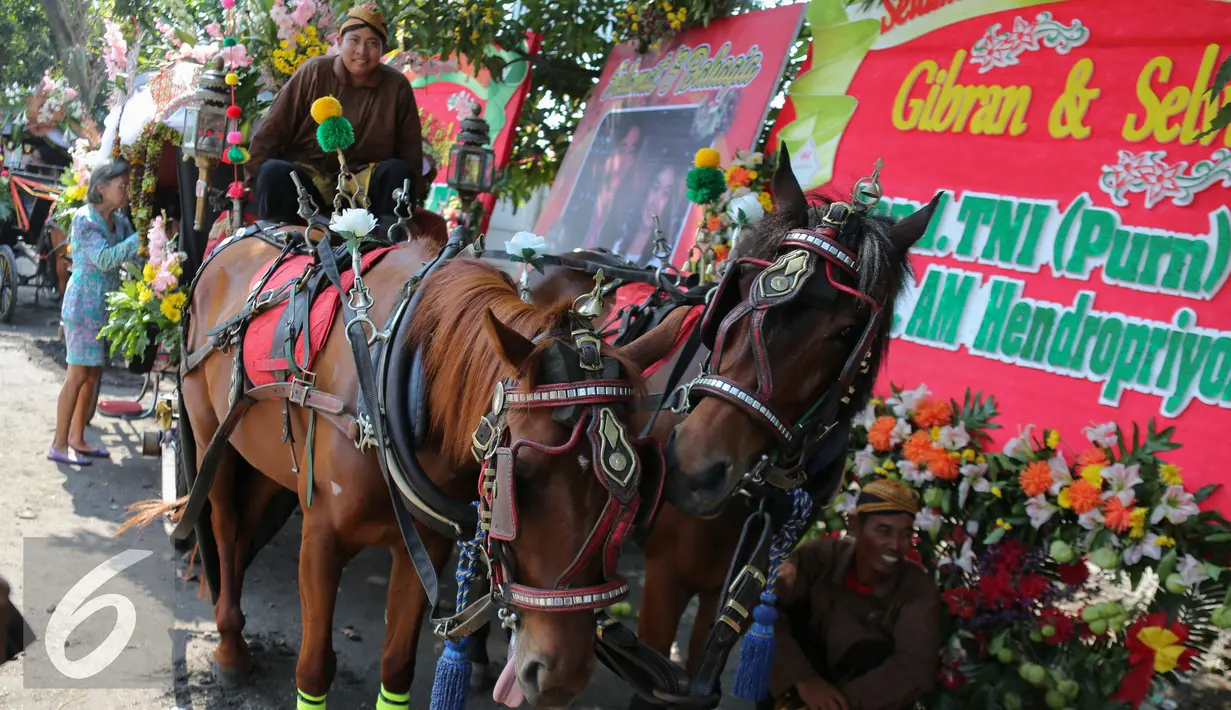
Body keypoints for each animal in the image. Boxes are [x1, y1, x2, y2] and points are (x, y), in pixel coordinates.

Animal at [163, 232, 669, 708]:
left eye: (637, 489)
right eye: (519, 477)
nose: (563, 678)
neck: (389, 391)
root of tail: (236, 240)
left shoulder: (426, 545)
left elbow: (397, 664)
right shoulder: (322, 536)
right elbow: (314, 667)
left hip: (269, 462)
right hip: (212, 442)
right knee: (226, 529)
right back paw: (230, 644)